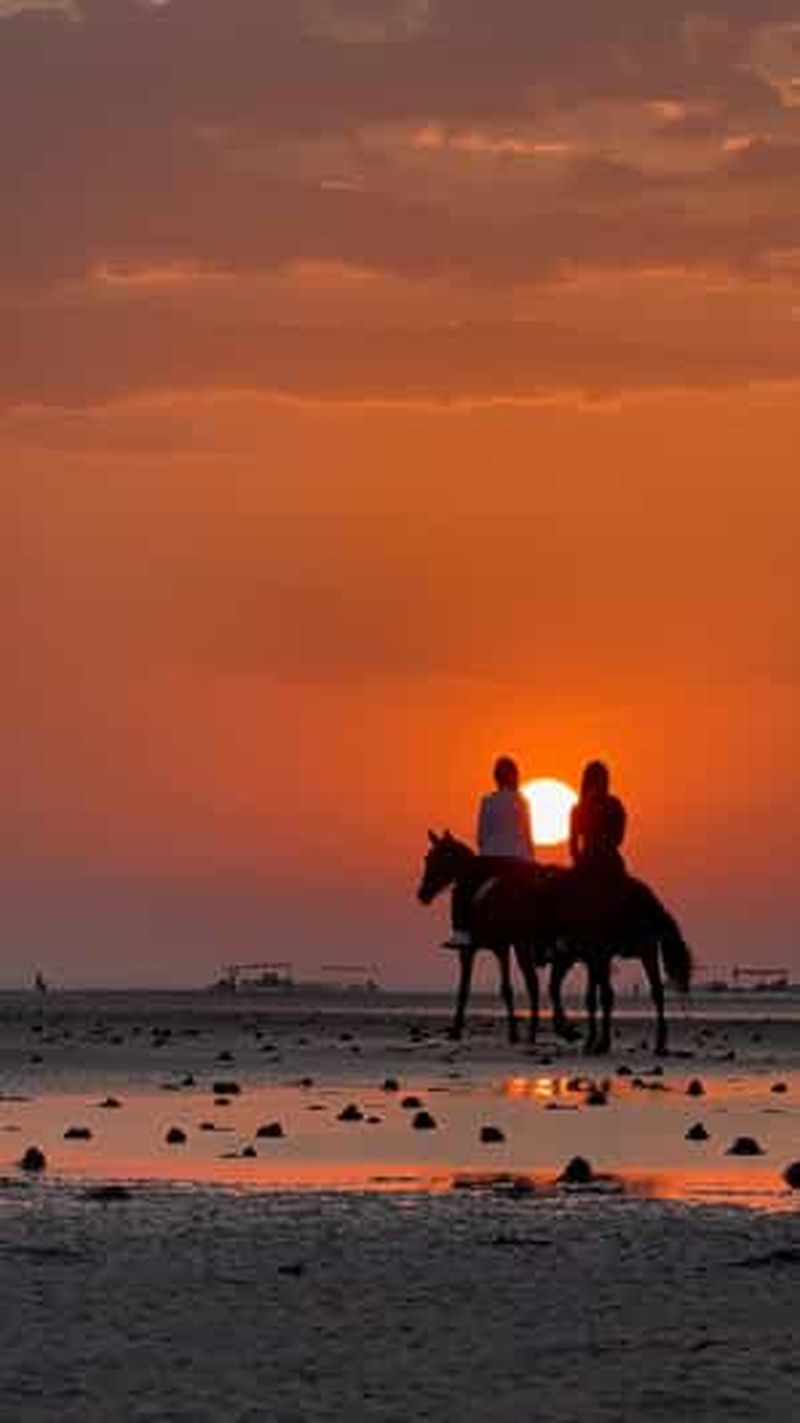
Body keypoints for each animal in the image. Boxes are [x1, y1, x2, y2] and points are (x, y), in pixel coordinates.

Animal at [417, 831, 692, 1053]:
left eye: (434, 858)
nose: (422, 894)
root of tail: (646, 898)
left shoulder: (510, 947)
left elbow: (521, 986)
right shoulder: (520, 948)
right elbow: (521, 988)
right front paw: (534, 1031)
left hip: (602, 953)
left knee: (606, 993)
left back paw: (599, 1041)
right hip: (642, 950)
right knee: (655, 992)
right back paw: (656, 1042)